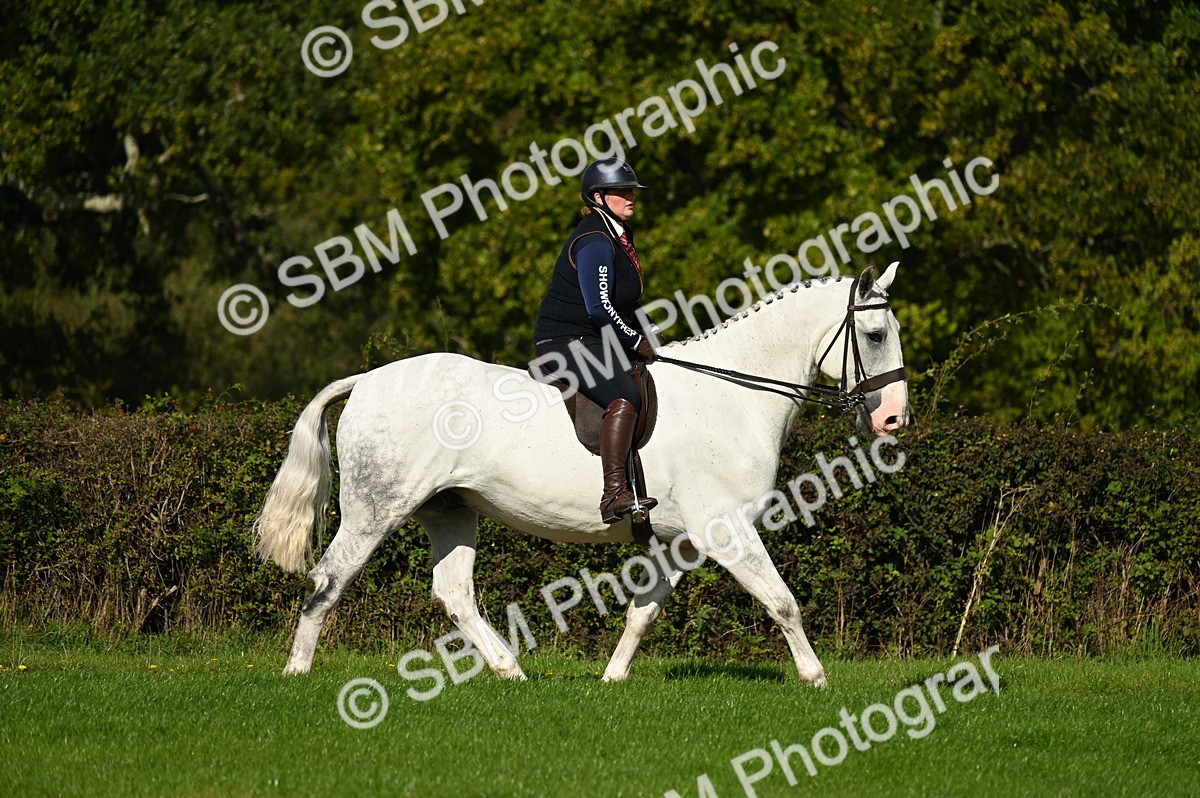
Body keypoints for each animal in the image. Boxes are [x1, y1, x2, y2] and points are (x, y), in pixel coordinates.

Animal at [254, 262, 910, 686]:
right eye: (876, 335)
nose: (894, 419)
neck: (733, 394)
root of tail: (366, 379)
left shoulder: (680, 541)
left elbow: (643, 612)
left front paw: (611, 679)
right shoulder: (726, 529)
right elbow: (782, 601)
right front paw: (816, 678)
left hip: (451, 510)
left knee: (454, 592)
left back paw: (510, 671)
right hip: (375, 508)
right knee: (327, 580)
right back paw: (296, 672)